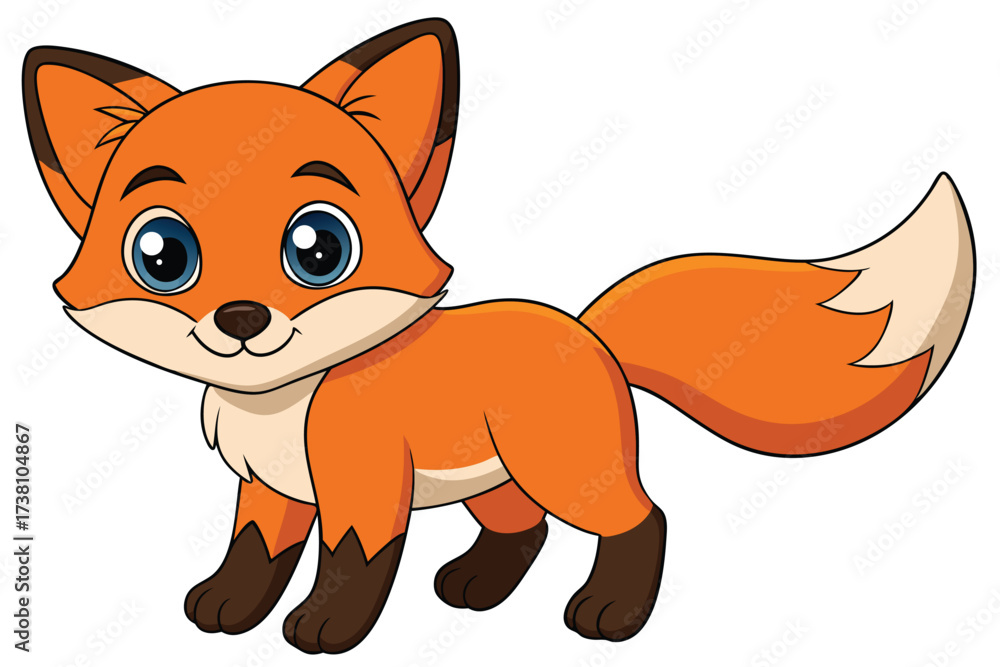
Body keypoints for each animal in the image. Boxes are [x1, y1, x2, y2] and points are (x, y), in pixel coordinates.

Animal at [22, 18, 974, 655]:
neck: (282, 406)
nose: (243, 320)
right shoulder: (271, 489)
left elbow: (353, 564)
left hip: (565, 468)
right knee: (525, 529)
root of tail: (584, 329)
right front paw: (226, 607)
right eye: (162, 253)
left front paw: (325, 627)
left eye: (319, 247)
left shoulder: (363, 489)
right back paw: (478, 585)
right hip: (497, 477)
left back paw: (611, 615)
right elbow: (253, 553)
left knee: (642, 517)